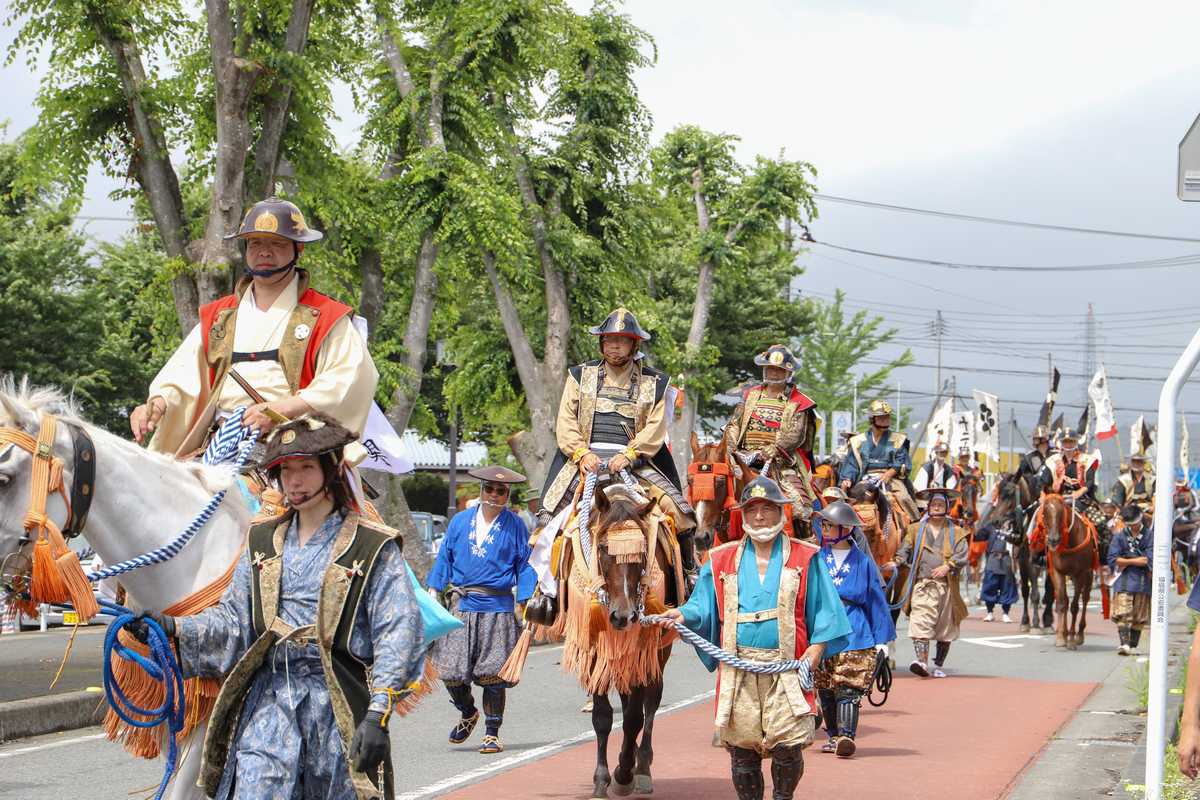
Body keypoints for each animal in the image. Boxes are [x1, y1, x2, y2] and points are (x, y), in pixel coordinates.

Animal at [559, 482, 681, 800]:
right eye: (603, 548)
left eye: (641, 553)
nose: (623, 616)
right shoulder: (594, 646)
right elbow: (603, 716)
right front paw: (602, 779)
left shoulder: (641, 646)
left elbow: (635, 717)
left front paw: (625, 772)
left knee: (649, 703)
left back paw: (642, 766)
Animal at [1041, 494, 1099, 652]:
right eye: (1045, 513)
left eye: (1061, 514)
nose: (1053, 540)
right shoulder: (1057, 572)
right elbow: (1062, 603)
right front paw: (1061, 637)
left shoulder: (1080, 574)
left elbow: (1074, 606)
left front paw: (1072, 639)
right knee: (1066, 600)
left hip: (1088, 574)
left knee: (1085, 599)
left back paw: (1079, 635)